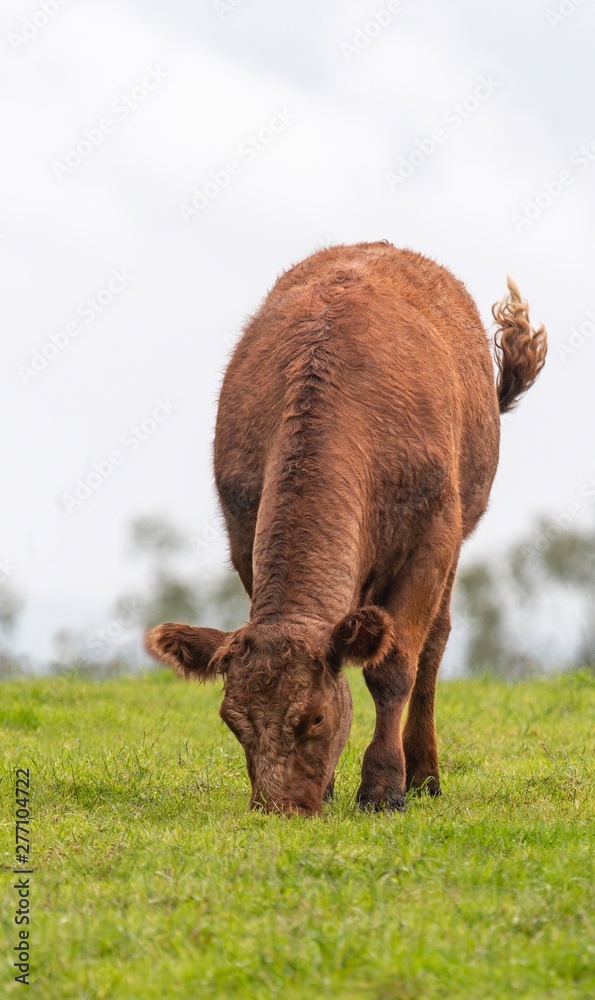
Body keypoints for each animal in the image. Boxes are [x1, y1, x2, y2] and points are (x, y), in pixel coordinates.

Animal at [146, 242, 547, 816]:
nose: (280, 810)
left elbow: (394, 667)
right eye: (232, 722)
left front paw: (383, 787)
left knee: (433, 649)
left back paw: (424, 774)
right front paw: (336, 786)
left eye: (314, 717)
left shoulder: (431, 542)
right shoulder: (242, 536)